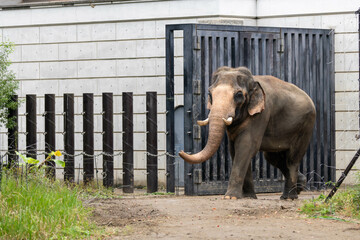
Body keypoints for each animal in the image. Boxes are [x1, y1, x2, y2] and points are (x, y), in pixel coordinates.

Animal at [179, 66, 316, 200]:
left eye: (239, 95)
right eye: (209, 93)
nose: (180, 151)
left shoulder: (261, 113)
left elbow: (246, 146)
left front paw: (230, 197)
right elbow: (235, 150)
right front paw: (248, 197)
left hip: (305, 126)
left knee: (292, 159)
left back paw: (288, 197)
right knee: (273, 157)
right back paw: (299, 186)